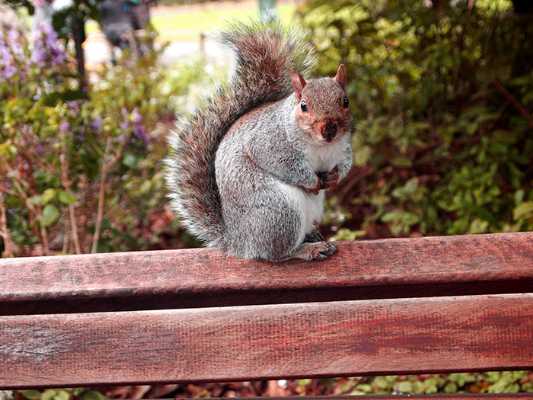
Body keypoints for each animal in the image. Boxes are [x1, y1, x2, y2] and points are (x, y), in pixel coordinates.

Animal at [165, 23, 353, 262]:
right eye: (303, 105)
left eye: (345, 101)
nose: (329, 129)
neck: (322, 145)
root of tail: (240, 243)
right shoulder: (268, 143)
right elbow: (286, 165)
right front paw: (312, 181)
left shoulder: (343, 148)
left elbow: (345, 165)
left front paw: (334, 177)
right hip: (279, 212)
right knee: (277, 253)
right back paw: (307, 249)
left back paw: (312, 236)